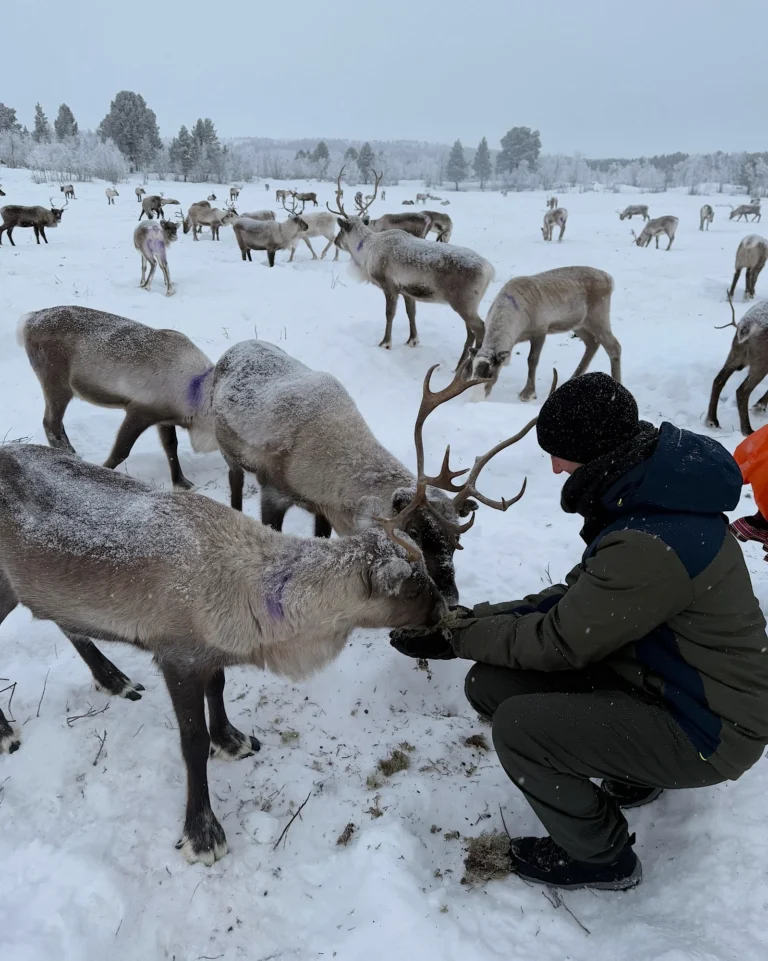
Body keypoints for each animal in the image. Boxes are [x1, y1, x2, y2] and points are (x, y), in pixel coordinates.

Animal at [18, 306, 218, 489]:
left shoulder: (164, 418)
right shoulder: (139, 411)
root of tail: (28, 321)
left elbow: (171, 447)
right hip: (57, 382)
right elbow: (121, 451)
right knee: (51, 423)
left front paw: (182, 482)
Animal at [213, 340, 542, 606]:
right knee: (234, 482)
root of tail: (233, 348)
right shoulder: (273, 493)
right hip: (228, 453)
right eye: (413, 532)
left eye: (456, 541)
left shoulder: (323, 509)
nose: (451, 598)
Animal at [328, 167, 494, 367]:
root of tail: (490, 270)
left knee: (480, 328)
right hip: (466, 305)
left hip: (464, 302)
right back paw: (460, 365)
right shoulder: (408, 291)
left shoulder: (389, 286)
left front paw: (385, 343)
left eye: (341, 229)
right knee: (471, 332)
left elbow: (389, 314)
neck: (368, 251)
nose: (336, 241)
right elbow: (411, 313)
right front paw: (412, 340)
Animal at [464, 266, 619, 400]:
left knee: (614, 346)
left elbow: (532, 360)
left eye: (491, 373)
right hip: (579, 324)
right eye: (473, 371)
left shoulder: (540, 330)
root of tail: (609, 278)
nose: (475, 399)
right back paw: (571, 379)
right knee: (592, 343)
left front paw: (528, 394)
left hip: (598, 317)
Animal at [707, 297, 768, 435]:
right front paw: (759, 406)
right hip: (761, 362)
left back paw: (712, 421)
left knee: (718, 380)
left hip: (736, 353)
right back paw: (748, 430)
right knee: (742, 390)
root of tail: (747, 325)